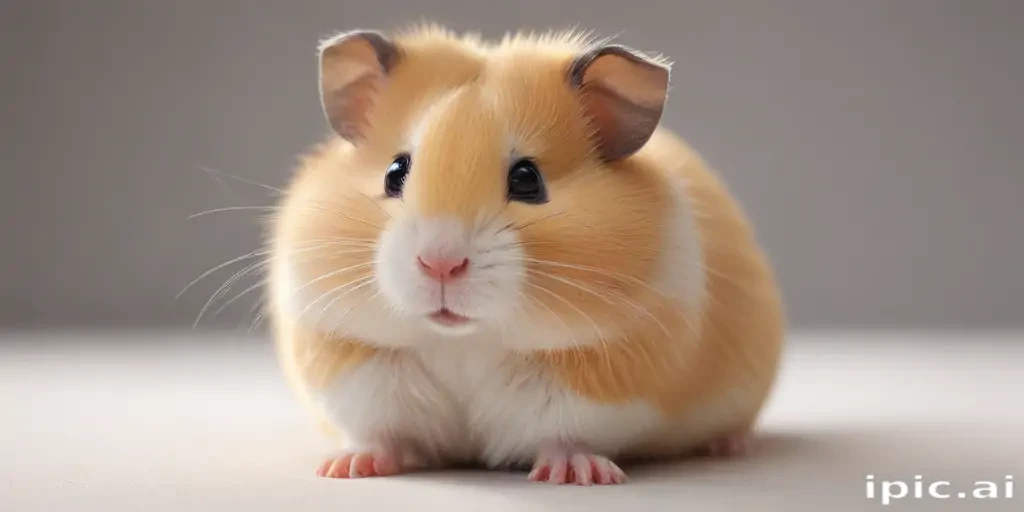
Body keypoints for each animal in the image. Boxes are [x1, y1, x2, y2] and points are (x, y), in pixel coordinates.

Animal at [268, 25, 784, 485]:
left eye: (527, 180)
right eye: (395, 172)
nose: (440, 264)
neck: (464, 340)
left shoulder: (600, 383)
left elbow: (566, 434)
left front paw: (575, 475)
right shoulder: (355, 370)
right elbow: (381, 433)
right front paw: (348, 467)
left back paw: (731, 446)